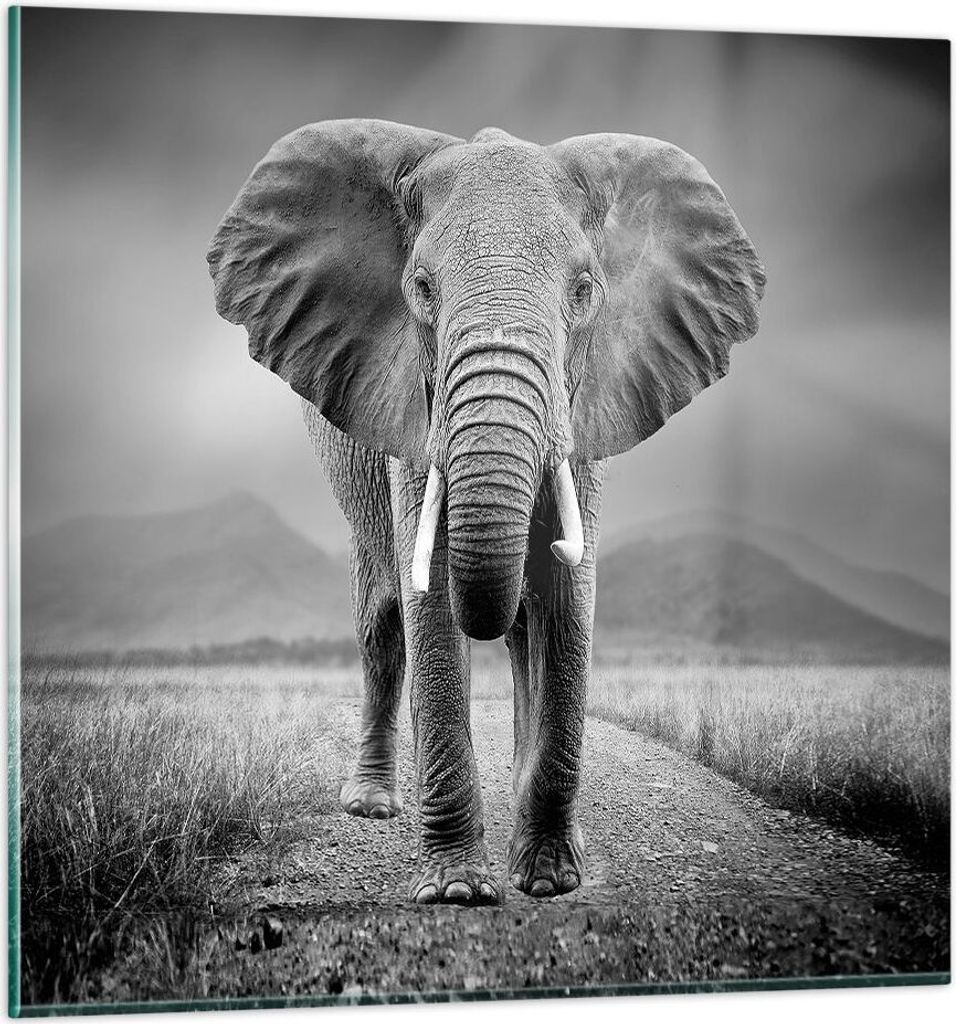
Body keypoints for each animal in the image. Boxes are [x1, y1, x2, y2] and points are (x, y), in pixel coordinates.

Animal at [207, 119, 764, 906]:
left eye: (585, 291)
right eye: (420, 289)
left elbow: (567, 599)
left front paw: (551, 877)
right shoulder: (412, 409)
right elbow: (433, 599)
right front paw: (458, 891)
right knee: (382, 624)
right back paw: (373, 805)